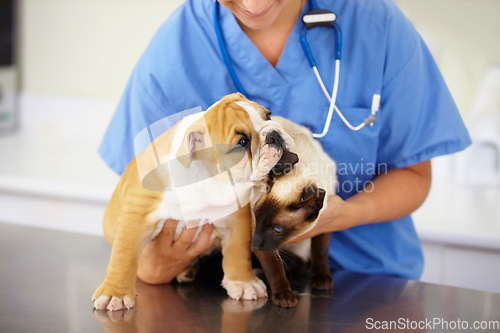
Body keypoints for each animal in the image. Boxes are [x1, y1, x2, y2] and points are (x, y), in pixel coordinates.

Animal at [92, 92, 294, 308]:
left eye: (268, 116)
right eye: (242, 142)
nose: (274, 135)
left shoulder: (237, 220)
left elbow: (238, 252)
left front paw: (243, 282)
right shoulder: (136, 217)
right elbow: (124, 256)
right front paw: (115, 293)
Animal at [252, 115, 338, 304]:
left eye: (277, 230)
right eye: (256, 217)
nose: (253, 245)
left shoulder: (326, 221)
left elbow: (320, 251)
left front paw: (321, 279)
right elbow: (274, 267)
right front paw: (283, 296)